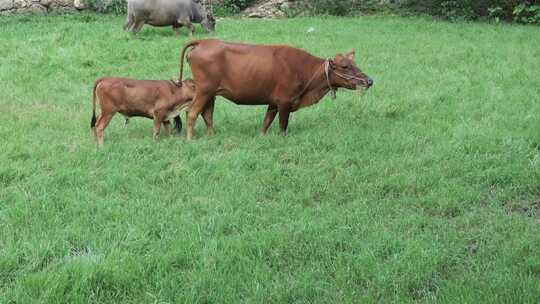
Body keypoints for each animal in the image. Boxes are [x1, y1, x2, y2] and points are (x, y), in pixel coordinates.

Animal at [179, 38, 374, 140]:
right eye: (345, 66)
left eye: (354, 63)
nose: (369, 80)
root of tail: (204, 41)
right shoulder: (285, 101)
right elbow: (282, 125)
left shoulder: (273, 102)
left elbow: (266, 121)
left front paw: (261, 136)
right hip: (204, 90)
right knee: (192, 112)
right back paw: (190, 139)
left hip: (211, 93)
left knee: (207, 114)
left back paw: (212, 135)